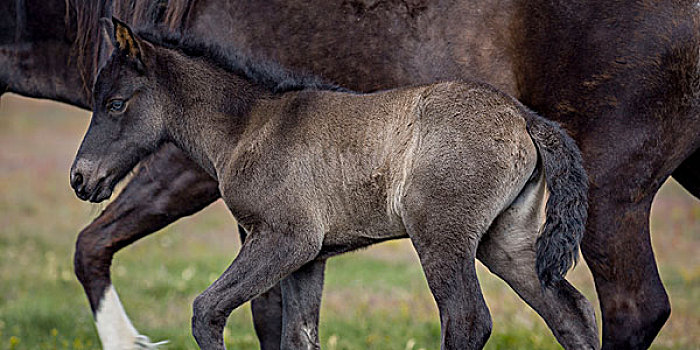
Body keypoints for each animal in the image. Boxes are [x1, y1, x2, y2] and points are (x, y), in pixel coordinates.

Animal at [1, 0, 700, 350]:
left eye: (116, 103)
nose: (81, 179)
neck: (250, 124)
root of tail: (526, 119)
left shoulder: (284, 240)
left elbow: (207, 311)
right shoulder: (311, 257)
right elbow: (297, 334)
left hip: (442, 238)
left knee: (470, 321)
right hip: (507, 243)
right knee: (571, 313)